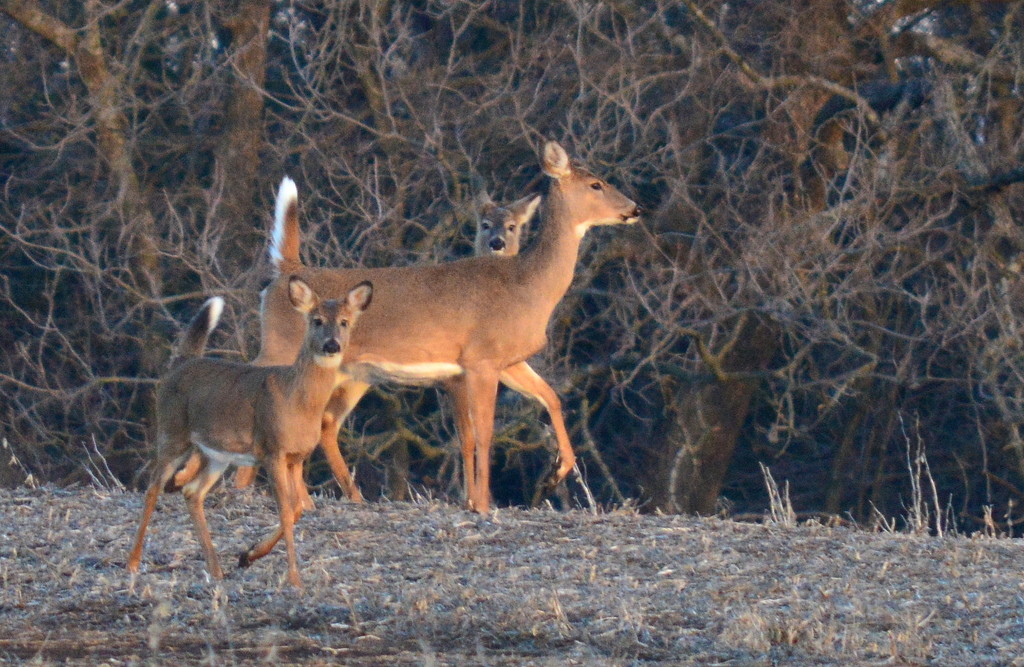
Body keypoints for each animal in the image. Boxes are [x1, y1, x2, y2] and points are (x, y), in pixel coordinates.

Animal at [124, 274, 372, 586]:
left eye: (344, 322)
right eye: (316, 320)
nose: (332, 345)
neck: (298, 401)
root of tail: (181, 364)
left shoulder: (296, 457)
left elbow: (297, 509)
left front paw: (248, 555)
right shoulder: (272, 449)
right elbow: (286, 509)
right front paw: (293, 578)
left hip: (216, 454)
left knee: (192, 492)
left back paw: (216, 569)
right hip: (172, 432)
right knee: (153, 489)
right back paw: (133, 563)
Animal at [251, 143, 634, 514]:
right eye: (596, 184)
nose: (635, 208)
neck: (527, 285)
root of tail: (286, 273)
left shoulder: (504, 360)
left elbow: (550, 397)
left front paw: (556, 473)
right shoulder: (481, 359)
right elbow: (483, 432)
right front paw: (481, 505)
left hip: (347, 372)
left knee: (319, 420)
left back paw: (310, 499)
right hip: (284, 348)